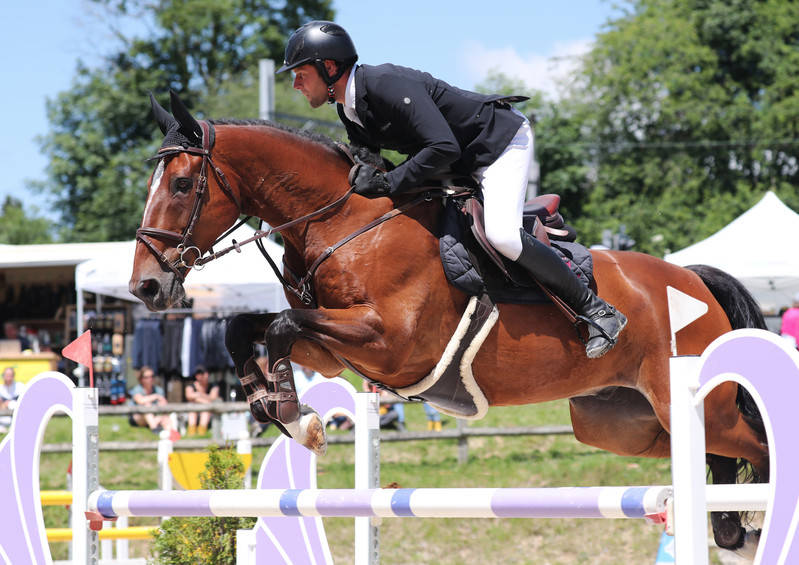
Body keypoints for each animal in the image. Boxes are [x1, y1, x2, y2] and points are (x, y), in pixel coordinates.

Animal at [130, 90, 768, 552]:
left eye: (182, 184)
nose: (146, 286)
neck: (344, 222)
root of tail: (695, 280)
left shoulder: (388, 342)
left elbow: (283, 325)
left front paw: (297, 418)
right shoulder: (332, 349)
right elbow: (247, 326)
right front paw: (269, 404)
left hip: (694, 404)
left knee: (757, 445)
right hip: (623, 423)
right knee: (715, 462)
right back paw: (733, 528)